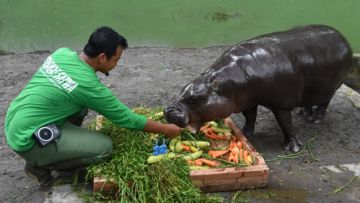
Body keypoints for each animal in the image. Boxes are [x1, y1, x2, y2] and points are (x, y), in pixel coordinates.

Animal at [165, 24, 352, 152]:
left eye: (195, 98)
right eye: (182, 88)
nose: (168, 110)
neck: (228, 83)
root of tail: (342, 36)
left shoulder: (281, 104)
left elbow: (286, 124)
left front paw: (292, 148)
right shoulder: (247, 100)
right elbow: (250, 118)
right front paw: (245, 135)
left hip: (331, 87)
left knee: (324, 103)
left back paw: (315, 120)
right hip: (313, 90)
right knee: (309, 101)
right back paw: (304, 114)